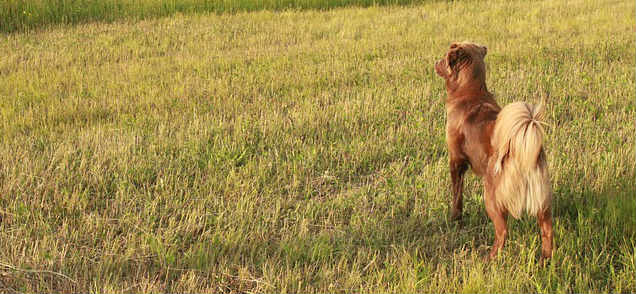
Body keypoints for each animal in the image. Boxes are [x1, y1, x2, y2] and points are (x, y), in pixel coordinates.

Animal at [434, 41, 556, 262]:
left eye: (445, 57)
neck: (471, 93)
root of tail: (520, 150)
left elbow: (457, 196)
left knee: (503, 232)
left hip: (491, 197)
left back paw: (489, 257)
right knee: (547, 230)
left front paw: (455, 219)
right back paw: (545, 259)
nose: (435, 62)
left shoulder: (456, 161)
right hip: (542, 201)